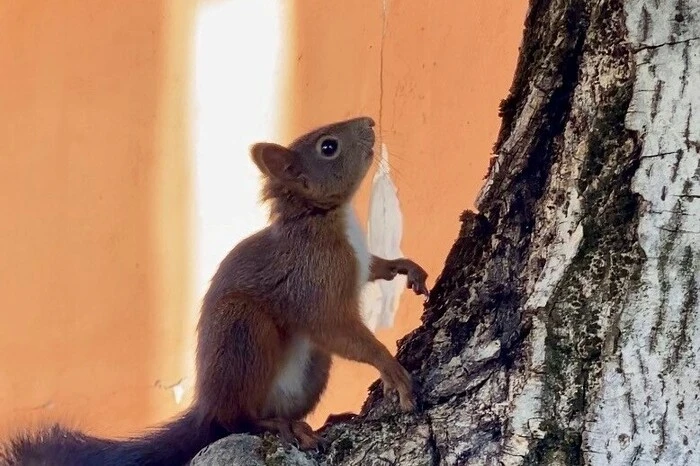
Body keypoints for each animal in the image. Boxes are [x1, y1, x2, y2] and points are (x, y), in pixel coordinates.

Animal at [0, 116, 429, 466]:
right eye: (328, 147)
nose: (370, 122)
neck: (324, 217)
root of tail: (207, 405)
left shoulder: (357, 264)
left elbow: (374, 268)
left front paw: (403, 266)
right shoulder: (311, 281)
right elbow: (338, 330)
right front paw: (391, 368)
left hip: (312, 367)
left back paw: (316, 420)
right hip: (245, 332)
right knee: (237, 419)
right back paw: (277, 426)